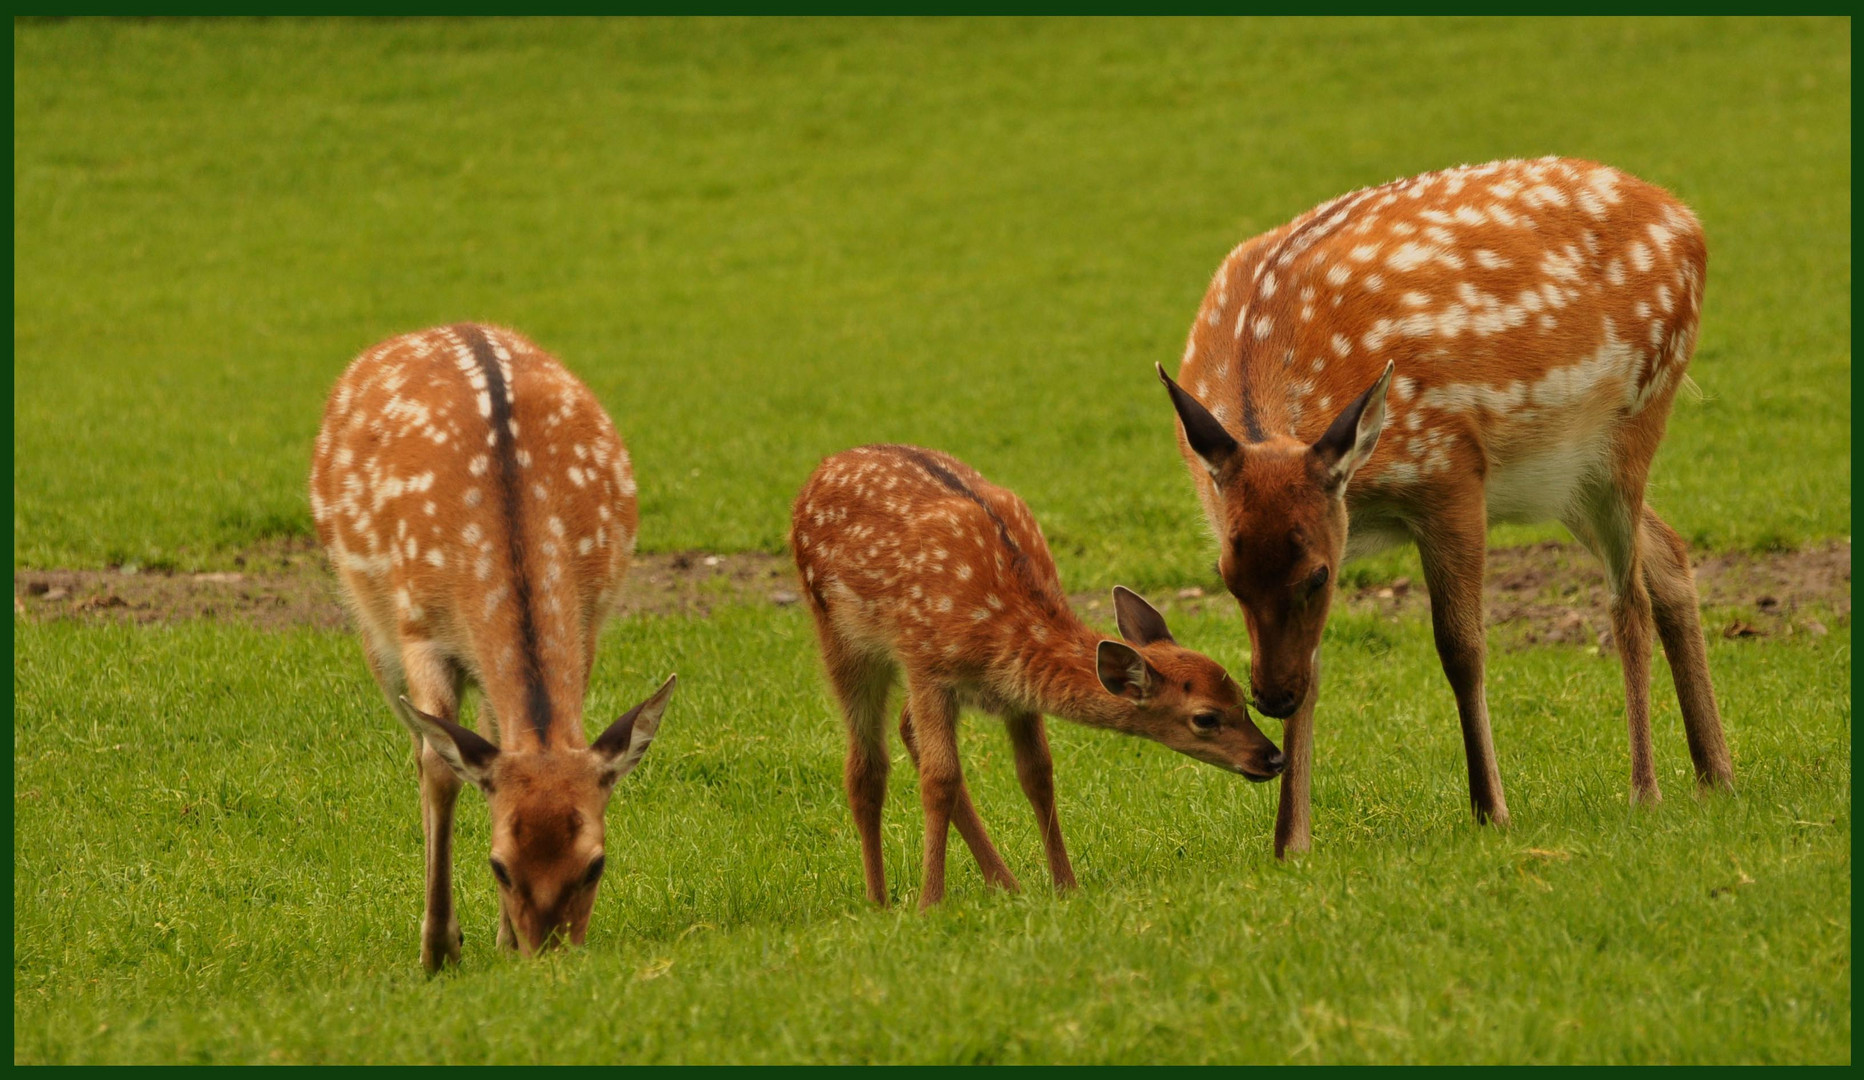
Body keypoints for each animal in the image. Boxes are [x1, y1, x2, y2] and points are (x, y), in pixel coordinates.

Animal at [309, 320, 682, 969]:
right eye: (499, 865)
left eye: (596, 864)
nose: (548, 954)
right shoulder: (420, 630)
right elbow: (439, 766)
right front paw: (438, 949)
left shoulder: (587, 623)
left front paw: (499, 941)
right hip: (370, 624)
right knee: (420, 748)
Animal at [786, 443, 1282, 910]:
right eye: (1206, 718)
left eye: (1243, 699)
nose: (1273, 758)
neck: (1001, 631)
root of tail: (818, 472)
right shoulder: (927, 665)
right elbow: (939, 780)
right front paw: (930, 903)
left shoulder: (1016, 697)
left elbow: (1038, 774)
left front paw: (1065, 886)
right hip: (838, 632)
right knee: (865, 767)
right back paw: (879, 901)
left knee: (906, 729)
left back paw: (1004, 883)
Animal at [1155, 156, 1737, 858]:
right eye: (1226, 576)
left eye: (1317, 576)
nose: (1270, 696)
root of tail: (1687, 219)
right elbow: (1316, 666)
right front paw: (1291, 841)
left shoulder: (1452, 473)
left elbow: (1461, 647)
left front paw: (1491, 809)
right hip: (1565, 476)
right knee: (1669, 554)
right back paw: (1716, 774)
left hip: (1634, 419)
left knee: (1629, 600)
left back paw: (1645, 790)